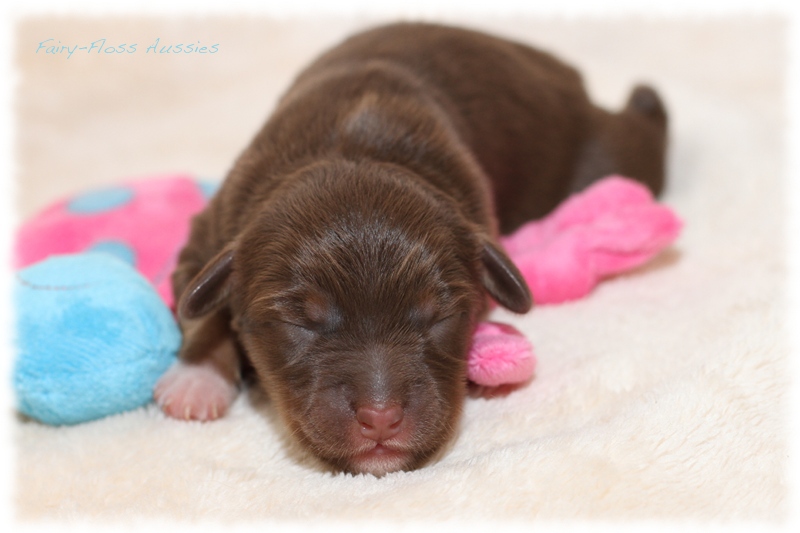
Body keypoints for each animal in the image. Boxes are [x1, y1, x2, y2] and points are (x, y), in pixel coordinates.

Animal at [153, 22, 664, 476]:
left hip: (610, 158)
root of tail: (567, 75)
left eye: (438, 316)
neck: (350, 149)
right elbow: (201, 306)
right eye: (300, 322)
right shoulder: (213, 231)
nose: (380, 418)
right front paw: (196, 378)